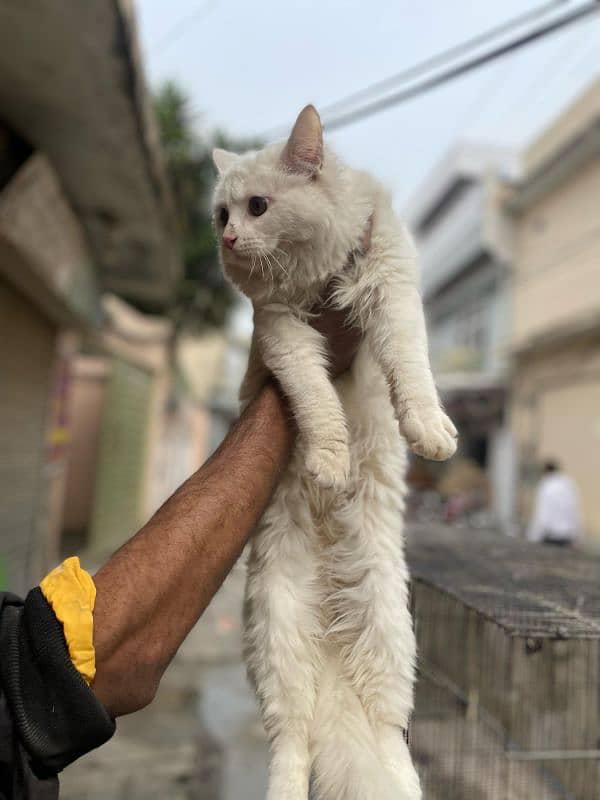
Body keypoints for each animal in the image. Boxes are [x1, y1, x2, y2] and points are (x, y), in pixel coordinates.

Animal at [211, 104, 454, 800]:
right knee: (291, 745)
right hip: (276, 641)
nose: (228, 239)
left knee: (389, 739)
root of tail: (328, 638)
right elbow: (315, 398)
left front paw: (429, 431)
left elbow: (411, 369)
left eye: (257, 206)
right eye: (220, 214)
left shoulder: (392, 287)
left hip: (389, 645)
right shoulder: (281, 332)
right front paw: (328, 460)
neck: (317, 277)